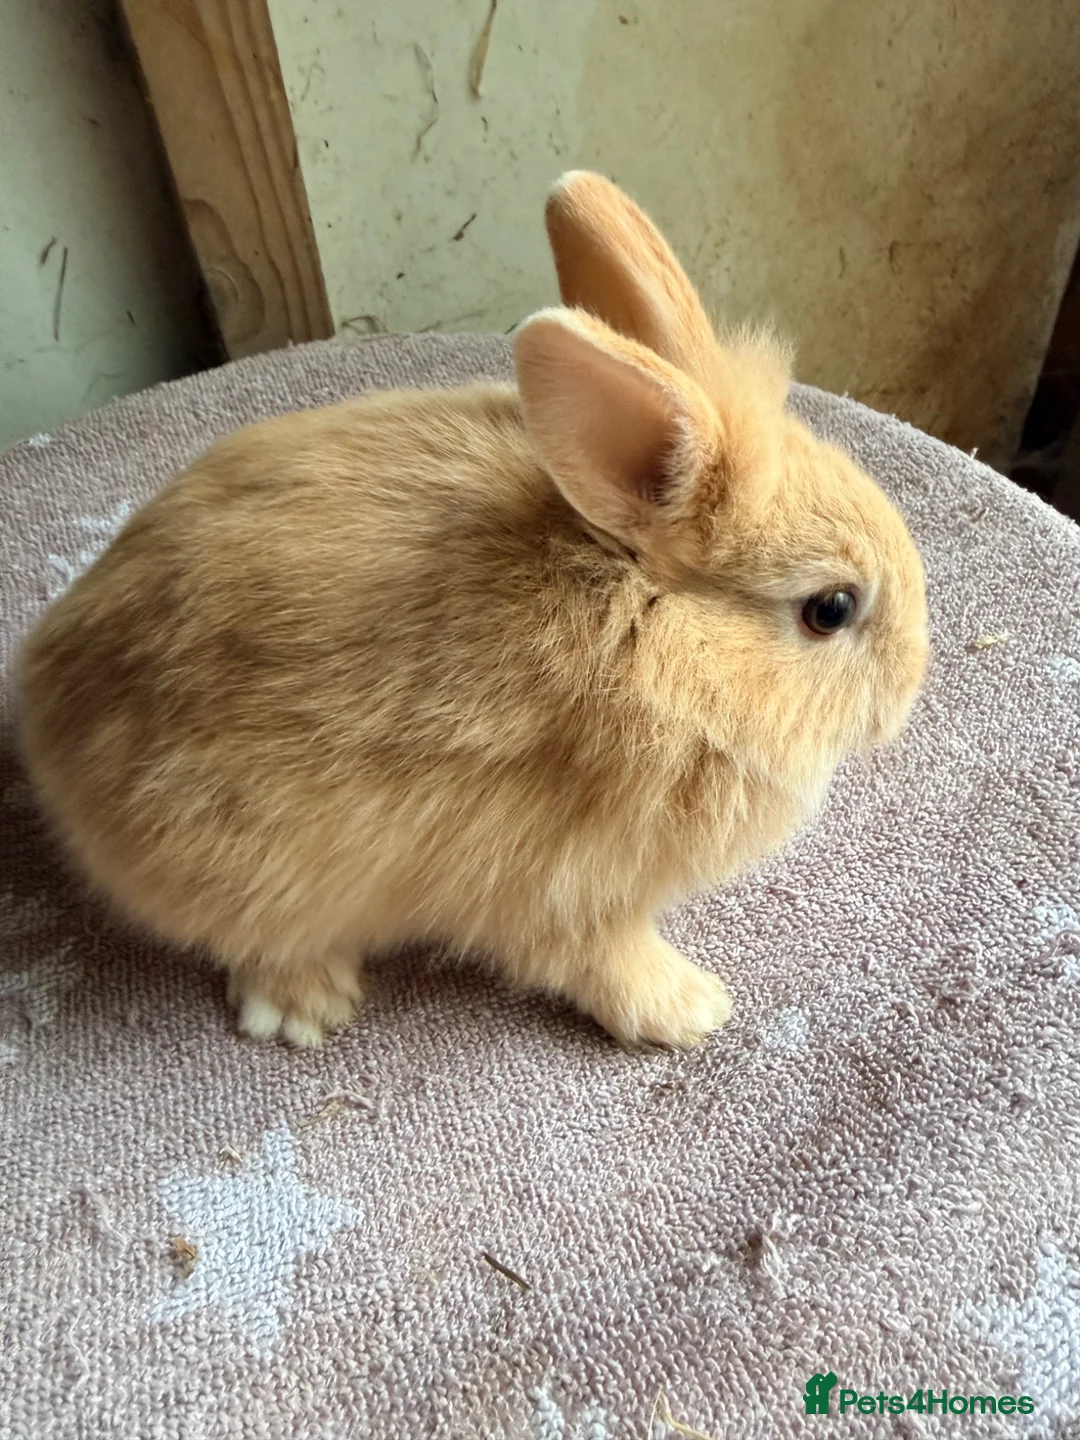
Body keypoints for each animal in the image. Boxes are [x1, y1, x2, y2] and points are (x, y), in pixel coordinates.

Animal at [17, 171, 928, 1050]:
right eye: (831, 609)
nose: (908, 696)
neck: (644, 635)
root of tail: (45, 691)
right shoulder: (559, 886)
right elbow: (601, 959)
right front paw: (691, 1013)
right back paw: (307, 1007)